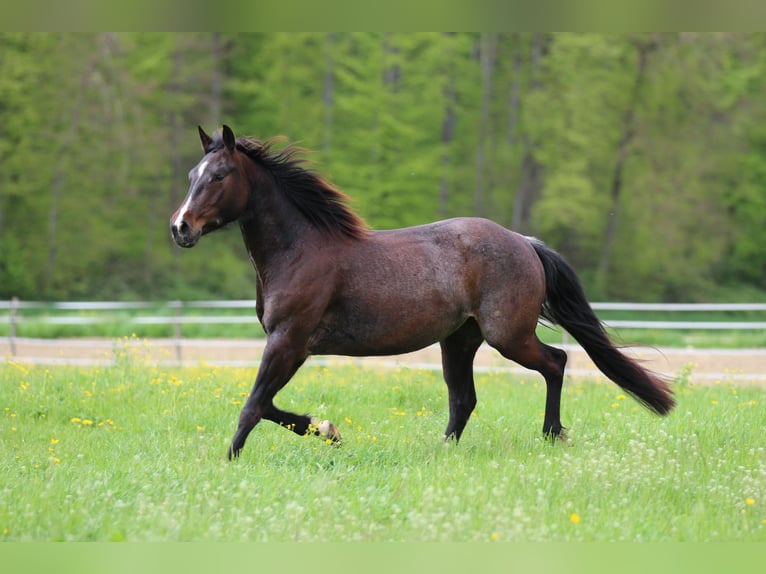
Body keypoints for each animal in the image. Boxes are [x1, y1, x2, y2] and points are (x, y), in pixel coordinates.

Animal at [170, 125, 675, 460]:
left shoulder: (288, 341)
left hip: (507, 336)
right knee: (464, 399)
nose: (180, 228)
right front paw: (327, 429)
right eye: (192, 174)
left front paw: (230, 460)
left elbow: (254, 405)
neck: (301, 248)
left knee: (556, 361)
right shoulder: (290, 345)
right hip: (460, 339)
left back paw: (552, 434)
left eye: (219, 176)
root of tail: (524, 242)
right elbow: (269, 405)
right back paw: (443, 453)